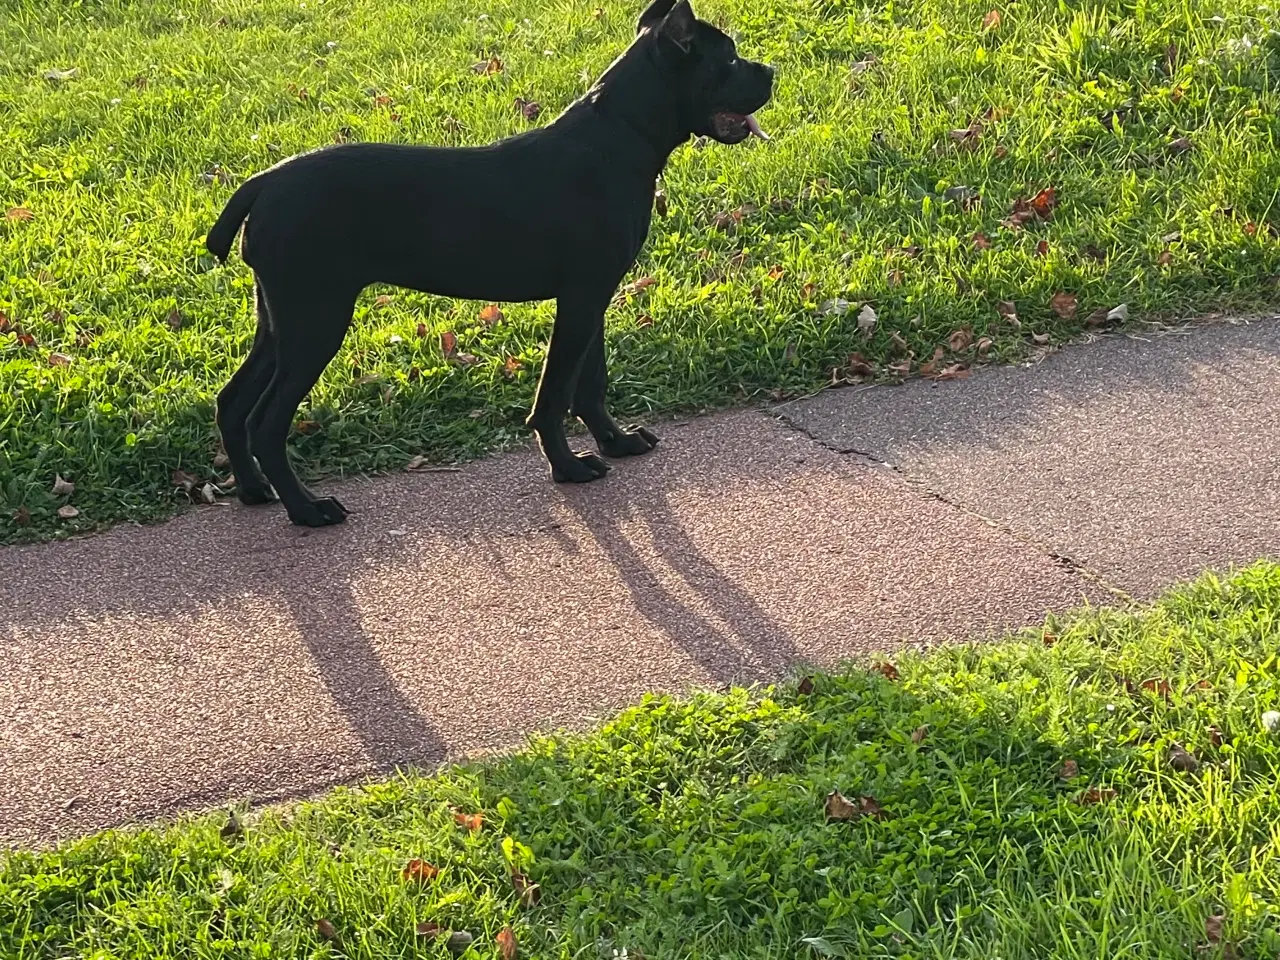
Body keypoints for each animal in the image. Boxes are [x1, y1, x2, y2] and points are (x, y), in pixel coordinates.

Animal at [204, 0, 773, 527]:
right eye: (729, 58)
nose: (771, 71)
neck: (622, 132)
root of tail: (262, 184)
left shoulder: (593, 296)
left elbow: (591, 384)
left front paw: (615, 442)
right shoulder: (581, 298)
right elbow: (556, 393)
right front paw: (567, 466)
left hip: (280, 320)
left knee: (232, 402)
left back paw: (254, 490)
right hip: (315, 321)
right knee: (266, 422)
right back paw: (306, 508)